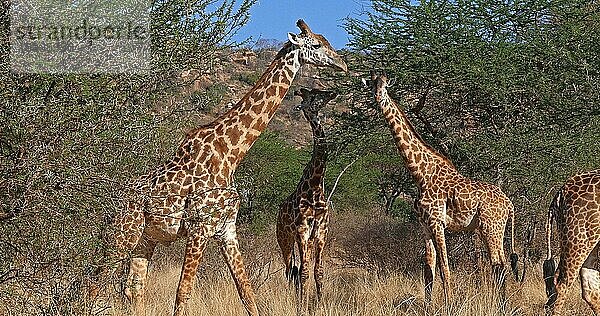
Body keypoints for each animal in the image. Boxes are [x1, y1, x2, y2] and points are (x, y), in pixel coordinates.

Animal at [276, 86, 338, 314]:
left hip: (307, 241)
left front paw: (318, 306)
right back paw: (294, 300)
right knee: (290, 270)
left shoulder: (321, 232)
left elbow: (318, 271)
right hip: (285, 239)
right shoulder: (302, 230)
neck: (315, 187)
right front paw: (301, 308)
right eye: (315, 94)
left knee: (296, 269)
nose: (334, 92)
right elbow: (303, 272)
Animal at [364, 72, 516, 304]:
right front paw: (429, 306)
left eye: (386, 86)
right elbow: (428, 270)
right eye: (373, 84)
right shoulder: (425, 225)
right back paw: (501, 305)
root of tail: (509, 204)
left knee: (500, 264)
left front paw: (449, 305)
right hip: (486, 228)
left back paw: (502, 306)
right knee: (499, 265)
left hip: (492, 227)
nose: (378, 98)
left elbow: (444, 268)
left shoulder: (437, 223)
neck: (420, 174)